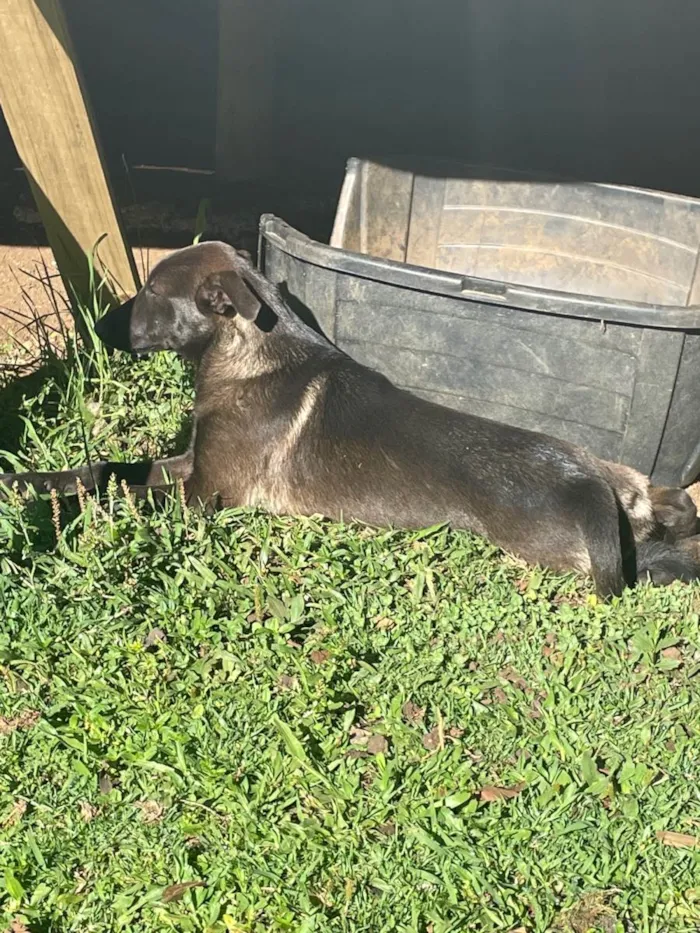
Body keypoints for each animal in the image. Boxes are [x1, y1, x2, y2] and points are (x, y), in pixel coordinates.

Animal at [2, 242, 696, 596]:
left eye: (149, 292)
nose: (94, 328)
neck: (244, 353)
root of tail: (587, 482)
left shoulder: (206, 494)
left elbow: (115, 498)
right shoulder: (188, 464)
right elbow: (103, 470)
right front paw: (28, 485)